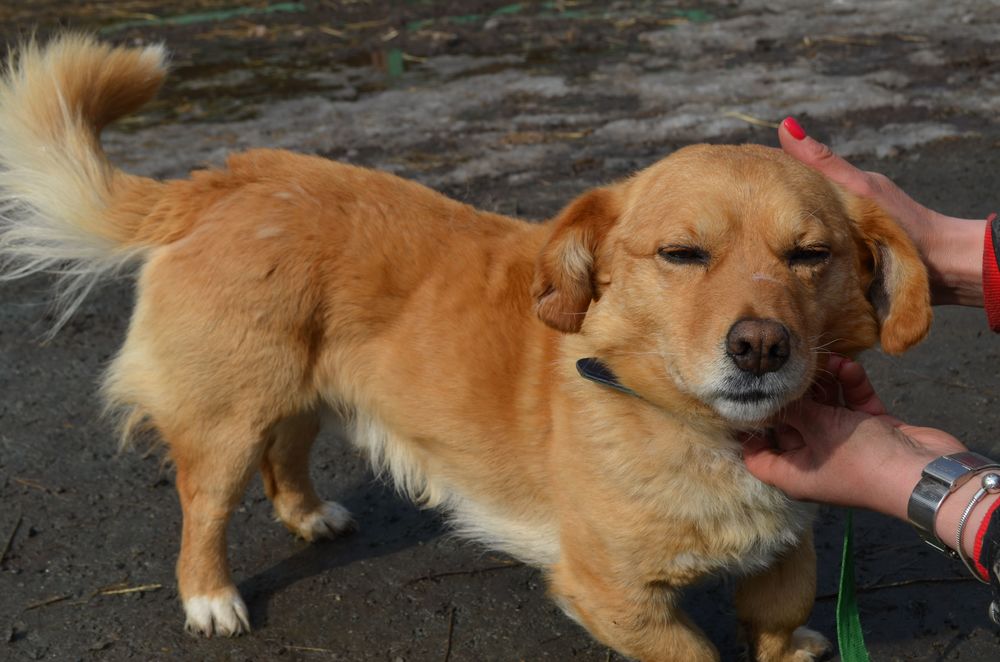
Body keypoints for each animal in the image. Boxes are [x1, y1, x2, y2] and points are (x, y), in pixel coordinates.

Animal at [0, 35, 931, 661]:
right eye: (681, 254)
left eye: (810, 255)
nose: (762, 347)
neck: (700, 430)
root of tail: (224, 180)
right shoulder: (616, 597)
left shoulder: (784, 554)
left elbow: (777, 619)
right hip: (226, 416)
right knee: (205, 506)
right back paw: (211, 599)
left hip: (307, 387)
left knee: (285, 453)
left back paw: (310, 515)